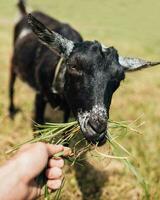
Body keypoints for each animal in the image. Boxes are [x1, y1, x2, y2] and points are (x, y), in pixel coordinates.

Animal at [9, 0, 160, 145]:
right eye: (74, 66)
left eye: (120, 78)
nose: (97, 129)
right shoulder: (40, 96)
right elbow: (37, 130)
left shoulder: (70, 107)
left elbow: (66, 134)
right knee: (11, 86)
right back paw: (11, 113)